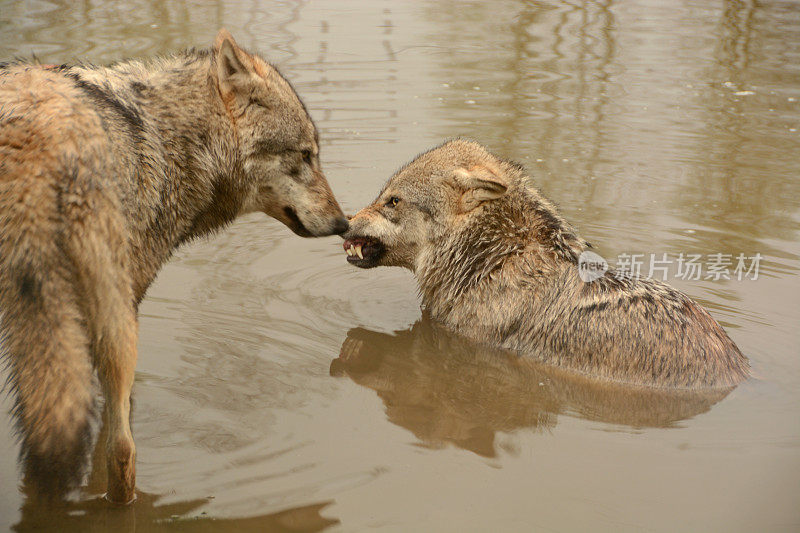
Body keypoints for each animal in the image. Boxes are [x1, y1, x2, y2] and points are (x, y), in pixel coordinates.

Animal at [1, 29, 348, 502]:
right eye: (307, 155)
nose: (344, 224)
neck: (171, 137)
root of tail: (39, 141)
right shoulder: (126, 304)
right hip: (112, 327)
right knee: (122, 450)